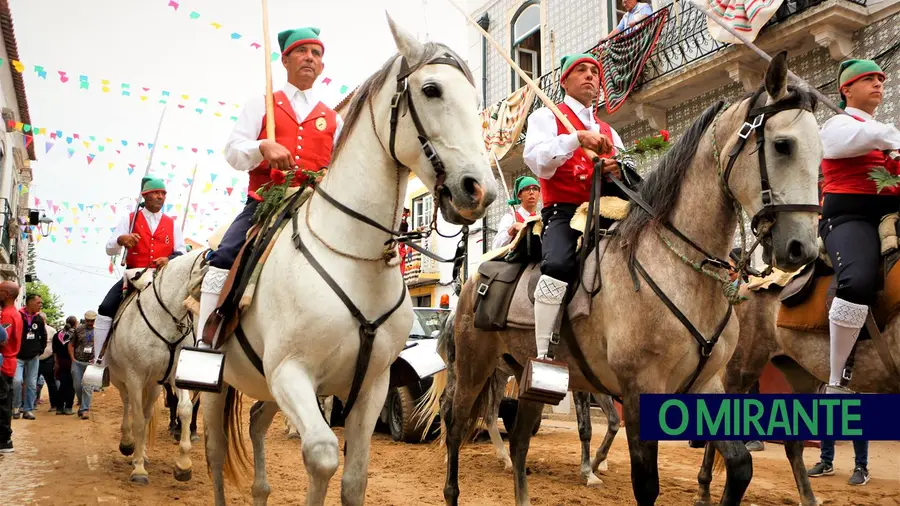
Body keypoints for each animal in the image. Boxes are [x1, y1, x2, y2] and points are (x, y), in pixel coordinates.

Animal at [105, 248, 206, 482]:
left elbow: (185, 409)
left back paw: (141, 453)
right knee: (128, 405)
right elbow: (137, 420)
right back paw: (128, 445)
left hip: (153, 386)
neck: (165, 319)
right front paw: (139, 470)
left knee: (147, 411)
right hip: (121, 380)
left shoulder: (176, 375)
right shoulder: (134, 377)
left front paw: (183, 464)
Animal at [195, 15, 500, 506]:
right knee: (215, 452)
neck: (356, 257)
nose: (480, 190)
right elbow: (321, 456)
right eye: (431, 89)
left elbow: (355, 478)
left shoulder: (372, 386)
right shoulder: (292, 374)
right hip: (213, 385)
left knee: (257, 423)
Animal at [426, 53, 828, 504]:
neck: (680, 270)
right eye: (782, 145)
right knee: (456, 426)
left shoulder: (706, 384)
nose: (802, 248)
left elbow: (741, 467)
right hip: (474, 367)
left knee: (519, 442)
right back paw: (452, 491)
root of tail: (471, 282)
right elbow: (646, 484)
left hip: (530, 376)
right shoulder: (639, 391)